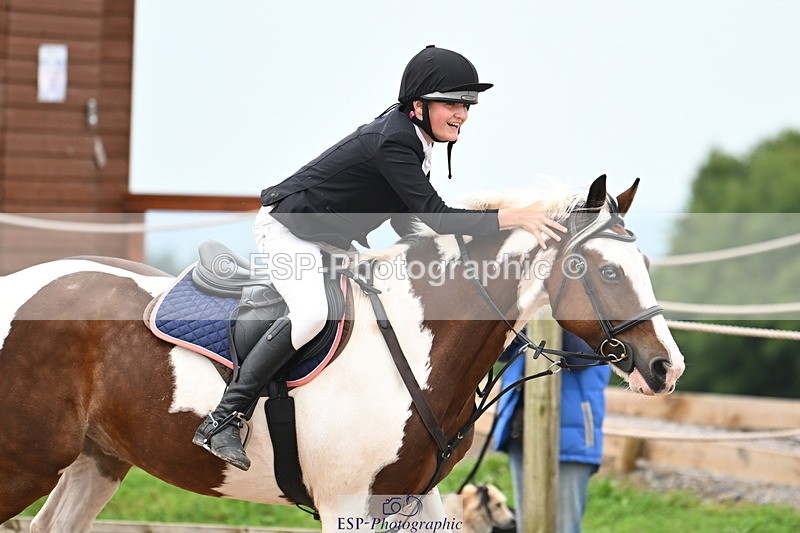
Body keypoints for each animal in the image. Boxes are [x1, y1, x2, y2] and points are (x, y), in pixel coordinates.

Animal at [0, 176, 684, 532]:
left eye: (645, 265)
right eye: (606, 271)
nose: (665, 367)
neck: (419, 337)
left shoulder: (412, 499)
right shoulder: (345, 503)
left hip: (97, 459)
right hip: (26, 460)